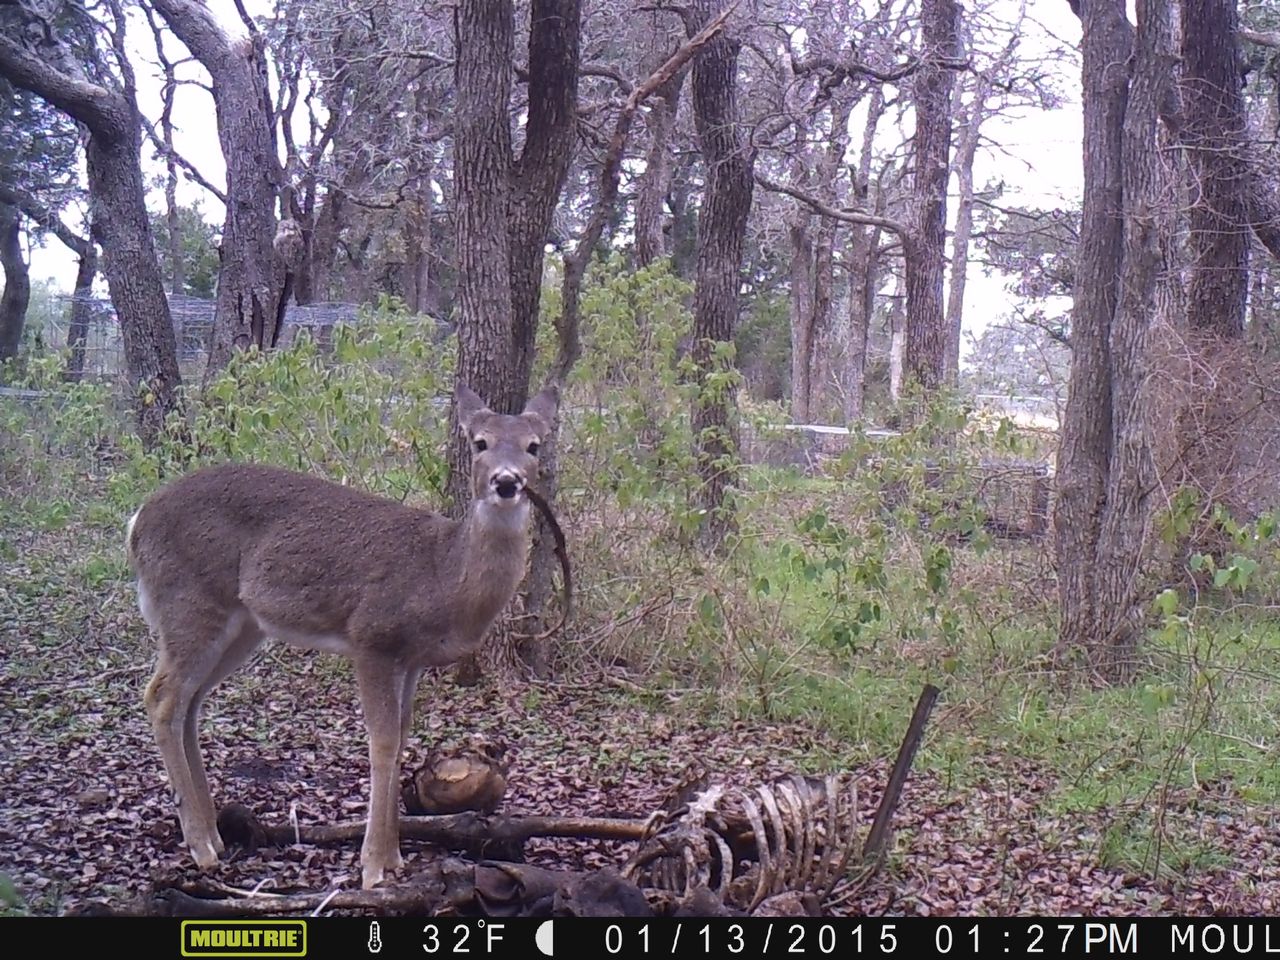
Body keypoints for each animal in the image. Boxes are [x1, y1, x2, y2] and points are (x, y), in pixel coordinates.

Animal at [127, 383, 558, 889]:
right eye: (480, 442)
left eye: (534, 446)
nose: (507, 482)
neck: (442, 576)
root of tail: (135, 522)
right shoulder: (371, 637)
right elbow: (383, 741)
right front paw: (372, 867)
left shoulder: (411, 659)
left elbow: (403, 735)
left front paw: (394, 858)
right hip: (190, 602)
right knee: (161, 697)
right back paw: (200, 848)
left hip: (242, 625)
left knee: (189, 704)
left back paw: (214, 834)